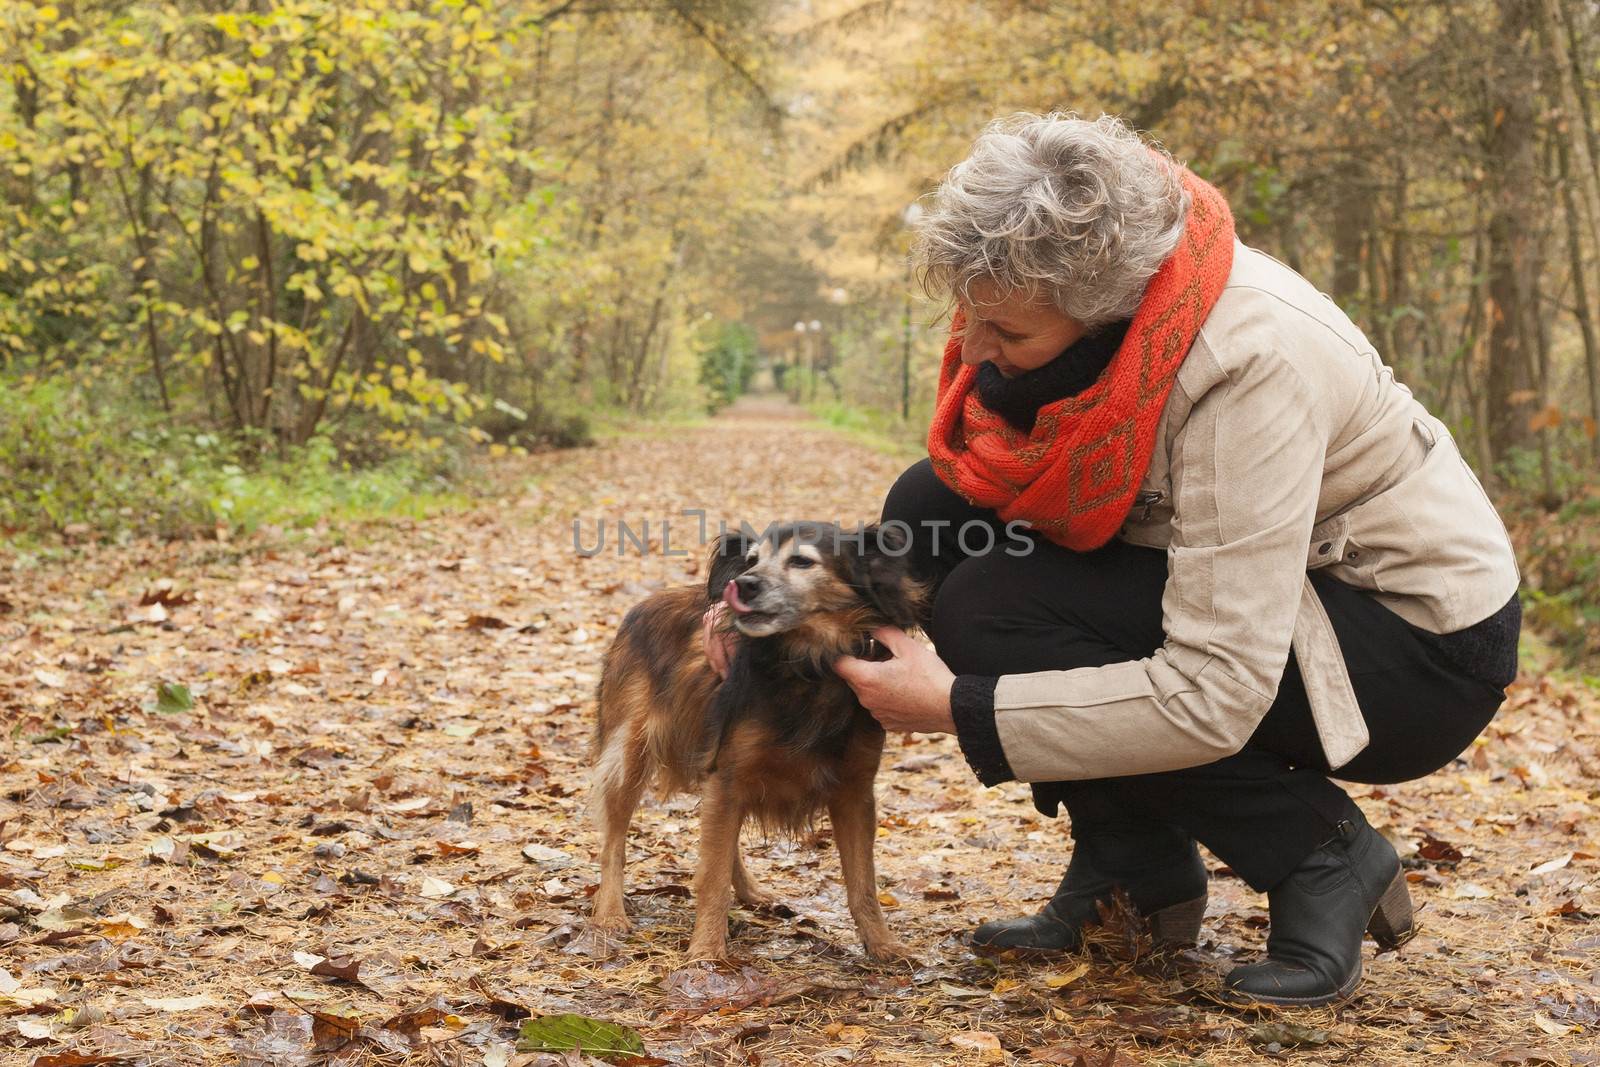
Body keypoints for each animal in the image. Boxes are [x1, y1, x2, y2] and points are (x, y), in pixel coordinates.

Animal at [588, 521, 921, 966]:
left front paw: (884, 945)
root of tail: (644, 604)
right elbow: (711, 877)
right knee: (615, 841)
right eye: (750, 561)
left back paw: (750, 892)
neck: (808, 669)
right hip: (632, 751)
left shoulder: (854, 792)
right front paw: (706, 953)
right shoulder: (729, 775)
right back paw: (609, 914)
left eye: (801, 561)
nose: (742, 585)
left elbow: (863, 883)